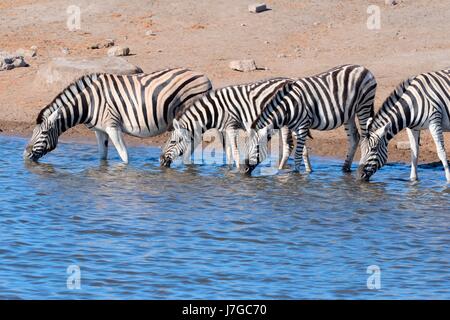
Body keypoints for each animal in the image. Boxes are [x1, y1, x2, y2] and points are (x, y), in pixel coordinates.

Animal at [23, 67, 214, 162]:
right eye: (32, 132)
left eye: (44, 133)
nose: (25, 155)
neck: (89, 103)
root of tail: (205, 77)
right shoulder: (99, 131)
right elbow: (102, 156)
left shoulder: (112, 126)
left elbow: (124, 156)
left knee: (193, 141)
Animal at [160, 77, 312, 170]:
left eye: (173, 142)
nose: (161, 161)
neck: (215, 110)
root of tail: (291, 80)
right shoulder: (224, 129)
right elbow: (228, 151)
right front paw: (228, 168)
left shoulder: (231, 125)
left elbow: (235, 150)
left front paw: (238, 169)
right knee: (302, 145)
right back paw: (308, 171)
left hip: (286, 122)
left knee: (289, 145)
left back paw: (281, 170)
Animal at [243, 64, 376, 175]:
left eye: (256, 147)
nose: (243, 170)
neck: (288, 107)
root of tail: (362, 68)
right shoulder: (296, 128)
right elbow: (303, 151)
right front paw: (307, 171)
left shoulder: (303, 125)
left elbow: (298, 154)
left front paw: (296, 175)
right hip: (349, 113)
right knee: (354, 138)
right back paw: (345, 169)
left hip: (364, 106)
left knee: (365, 138)